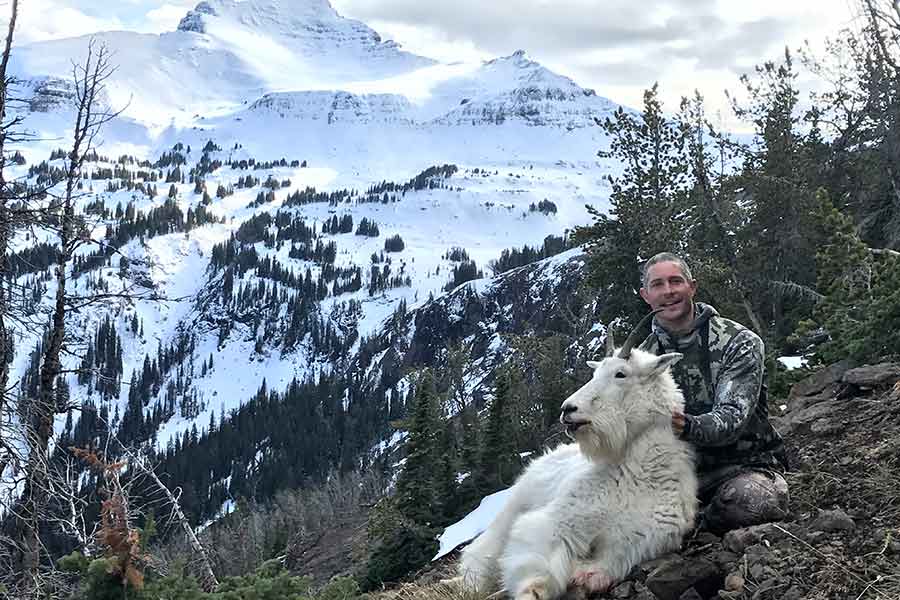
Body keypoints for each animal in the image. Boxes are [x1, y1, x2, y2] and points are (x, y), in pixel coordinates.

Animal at [458, 312, 696, 600]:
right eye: (595, 372)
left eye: (621, 373)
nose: (567, 409)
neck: (637, 472)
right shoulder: (560, 520)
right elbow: (538, 568)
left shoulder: (633, 543)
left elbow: (599, 567)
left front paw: (581, 576)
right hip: (514, 506)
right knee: (483, 550)